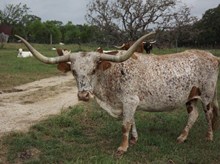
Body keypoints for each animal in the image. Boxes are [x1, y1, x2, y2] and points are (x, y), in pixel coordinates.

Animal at [14, 32, 219, 156]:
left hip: (207, 95)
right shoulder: (127, 103)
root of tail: (212, 56)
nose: (83, 96)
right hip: (190, 97)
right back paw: (182, 137)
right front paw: (134, 140)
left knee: (208, 115)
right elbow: (132, 122)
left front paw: (123, 147)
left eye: (94, 69)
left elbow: (125, 125)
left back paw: (209, 137)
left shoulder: (129, 101)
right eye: (73, 71)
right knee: (193, 115)